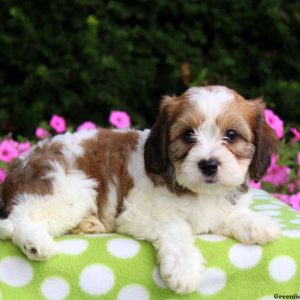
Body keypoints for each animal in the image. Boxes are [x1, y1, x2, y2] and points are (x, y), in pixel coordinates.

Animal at [0, 85, 282, 294]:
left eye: (232, 135)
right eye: (188, 135)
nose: (209, 164)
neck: (198, 191)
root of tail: (20, 164)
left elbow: (230, 213)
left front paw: (257, 224)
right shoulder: (136, 214)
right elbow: (178, 227)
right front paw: (184, 268)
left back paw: (87, 225)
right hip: (71, 188)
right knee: (17, 219)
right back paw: (35, 243)